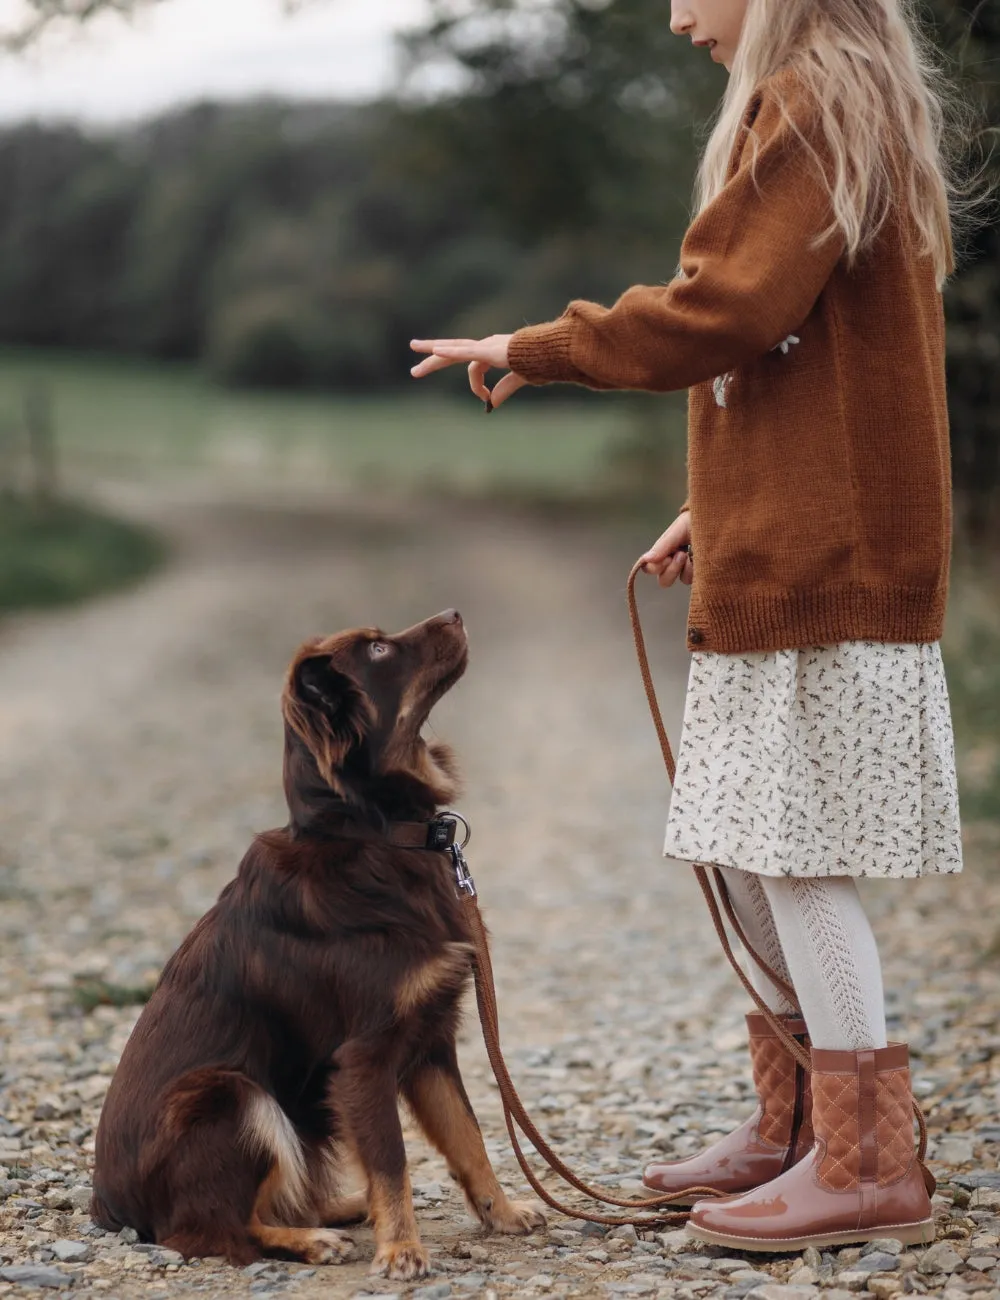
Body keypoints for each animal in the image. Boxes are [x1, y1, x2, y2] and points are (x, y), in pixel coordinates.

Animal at [92, 611, 540, 1279]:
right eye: (378, 650)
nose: (455, 614)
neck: (377, 835)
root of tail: (110, 1207)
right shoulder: (364, 1056)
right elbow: (393, 1160)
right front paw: (401, 1250)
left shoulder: (430, 1040)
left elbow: (469, 1137)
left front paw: (502, 1213)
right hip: (232, 1095)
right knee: (212, 1228)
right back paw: (311, 1239)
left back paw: (343, 1211)